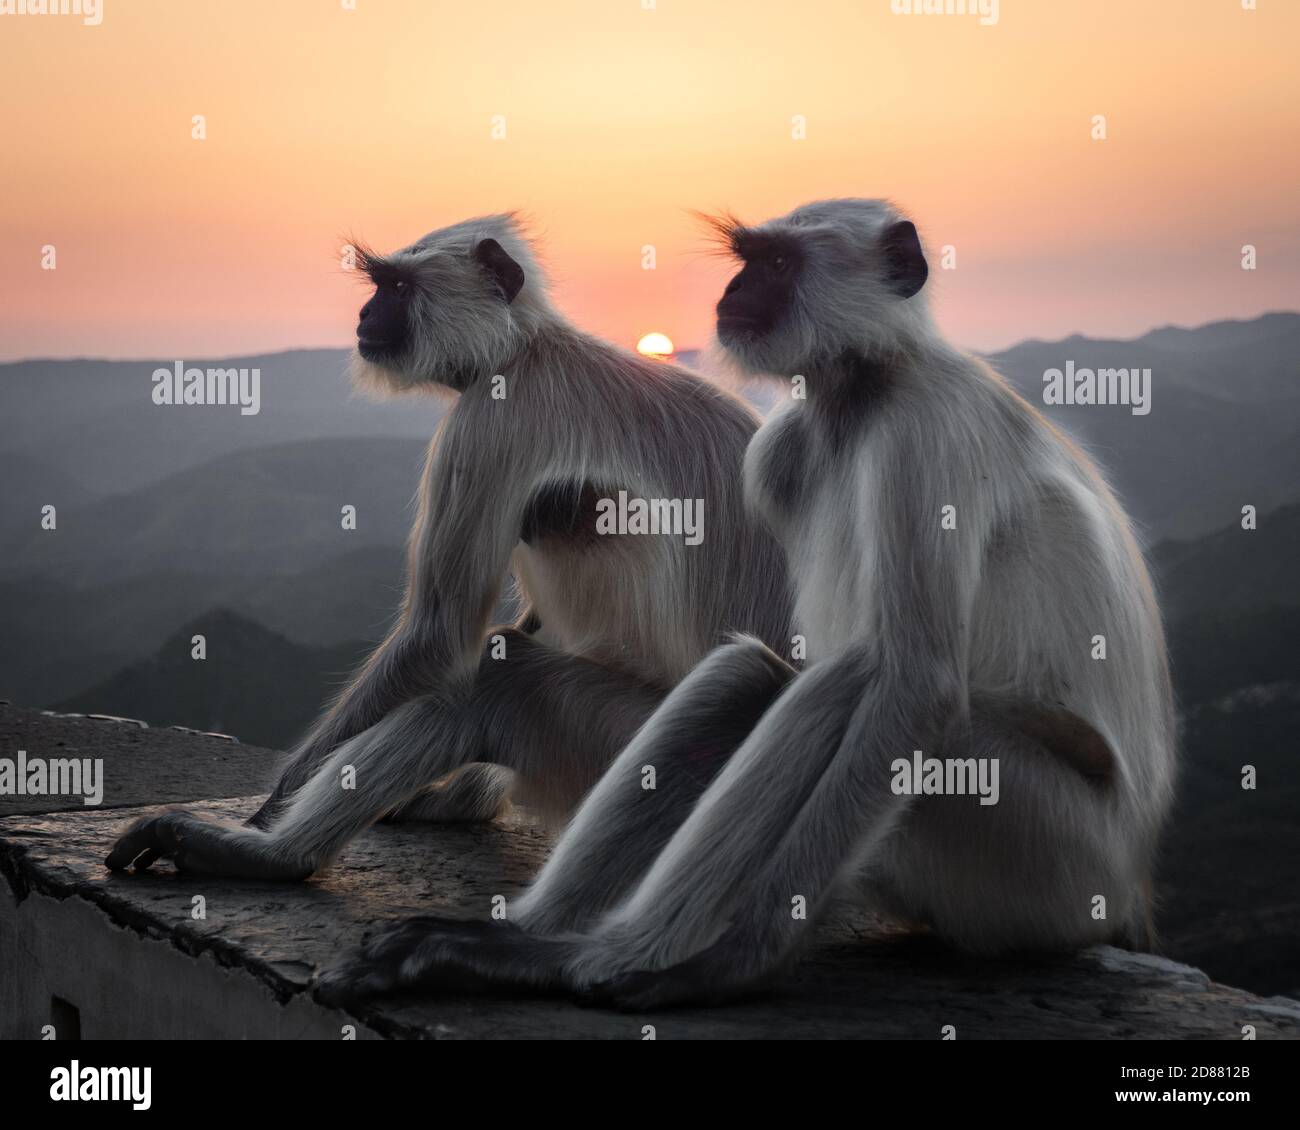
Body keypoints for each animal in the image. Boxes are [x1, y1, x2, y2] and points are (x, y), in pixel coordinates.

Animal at [101, 211, 785, 884]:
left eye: (398, 288)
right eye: (378, 286)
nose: (364, 314)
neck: (524, 347)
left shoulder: (492, 417)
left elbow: (439, 636)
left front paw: (272, 807)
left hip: (637, 751)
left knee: (493, 677)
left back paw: (273, 858)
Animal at [312, 198, 1180, 1009]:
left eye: (395, 288)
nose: (364, 316)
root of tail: (1126, 893)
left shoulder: (496, 413)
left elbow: (440, 631)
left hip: (1033, 845)